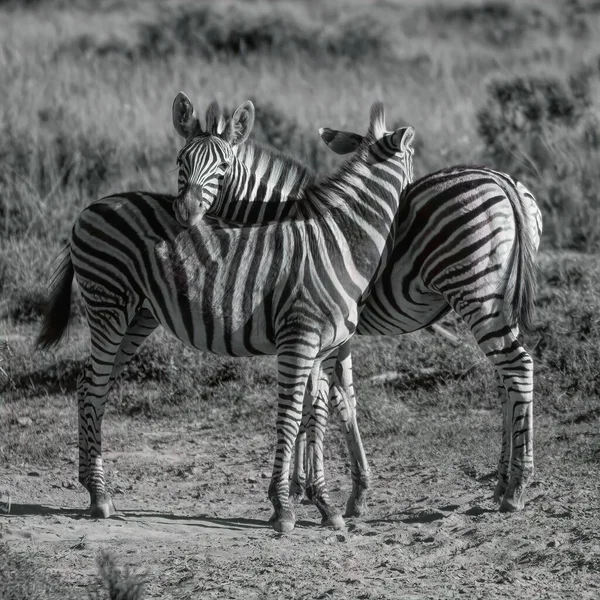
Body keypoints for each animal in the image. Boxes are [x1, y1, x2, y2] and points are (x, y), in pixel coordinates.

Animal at [36, 99, 412, 536]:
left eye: (224, 166)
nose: (187, 211)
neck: (339, 239)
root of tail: (90, 207)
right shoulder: (300, 341)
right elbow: (291, 417)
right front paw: (285, 506)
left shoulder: (324, 347)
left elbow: (318, 416)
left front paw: (324, 502)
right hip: (108, 305)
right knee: (94, 388)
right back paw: (99, 496)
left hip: (137, 317)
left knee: (90, 387)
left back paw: (93, 487)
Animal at [175, 95, 544, 516]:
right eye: (181, 161)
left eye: (222, 168)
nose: (185, 213)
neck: (275, 218)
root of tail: (503, 181)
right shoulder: (329, 331)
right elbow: (335, 399)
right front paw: (334, 489)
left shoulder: (306, 323)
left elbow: (316, 402)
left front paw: (303, 488)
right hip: (498, 298)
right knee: (507, 378)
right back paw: (502, 482)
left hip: (476, 292)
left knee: (518, 368)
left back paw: (517, 486)